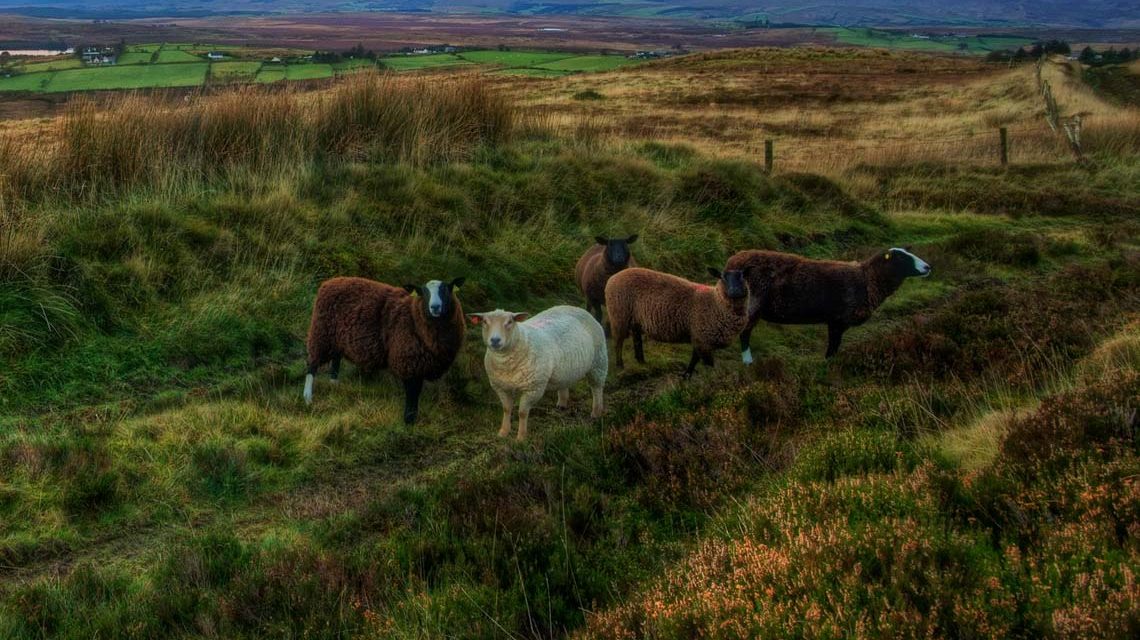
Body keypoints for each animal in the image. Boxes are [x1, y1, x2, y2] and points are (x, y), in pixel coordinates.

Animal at [304, 276, 466, 425]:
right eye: (423, 292)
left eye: (446, 289)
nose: (435, 307)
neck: (414, 316)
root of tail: (330, 281)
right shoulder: (408, 362)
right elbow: (412, 393)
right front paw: (409, 421)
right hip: (321, 332)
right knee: (312, 364)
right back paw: (307, 398)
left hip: (337, 338)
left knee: (336, 359)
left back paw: (334, 384)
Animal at [468, 305, 607, 441]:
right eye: (484, 322)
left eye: (510, 322)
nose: (495, 340)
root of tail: (576, 307)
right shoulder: (501, 387)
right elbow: (506, 409)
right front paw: (503, 432)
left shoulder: (533, 388)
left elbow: (522, 413)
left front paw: (521, 437)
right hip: (565, 369)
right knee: (564, 384)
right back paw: (562, 405)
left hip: (598, 362)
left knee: (597, 388)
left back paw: (596, 413)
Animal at [605, 266, 750, 377]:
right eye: (722, 277)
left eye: (742, 276)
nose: (735, 291)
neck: (714, 303)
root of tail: (613, 278)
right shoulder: (702, 339)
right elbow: (707, 363)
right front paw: (706, 378)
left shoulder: (699, 338)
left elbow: (694, 358)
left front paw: (687, 375)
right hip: (619, 316)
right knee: (618, 343)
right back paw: (620, 365)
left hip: (635, 320)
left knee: (637, 340)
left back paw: (642, 362)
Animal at [726, 247, 931, 360]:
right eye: (902, 258)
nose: (928, 267)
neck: (867, 279)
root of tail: (733, 260)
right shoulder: (837, 320)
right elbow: (832, 348)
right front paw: (829, 368)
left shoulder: (836, 321)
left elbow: (834, 347)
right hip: (751, 304)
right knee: (744, 334)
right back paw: (748, 361)